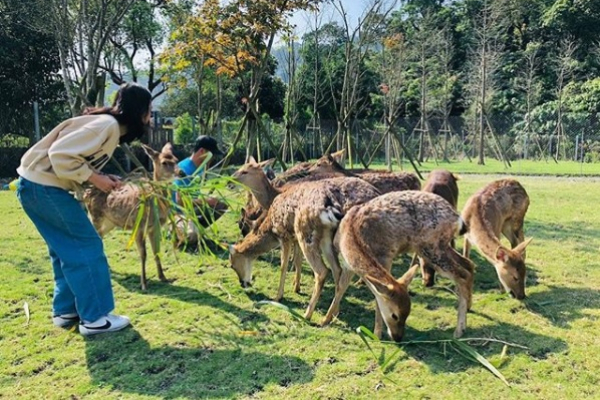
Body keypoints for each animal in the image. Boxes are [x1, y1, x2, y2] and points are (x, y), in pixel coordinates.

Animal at [83, 144, 179, 290]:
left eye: (176, 159)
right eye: (164, 162)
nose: (181, 172)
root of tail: (86, 193)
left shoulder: (155, 227)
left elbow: (156, 251)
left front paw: (163, 278)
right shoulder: (138, 226)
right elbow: (143, 254)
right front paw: (144, 284)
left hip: (110, 223)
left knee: (101, 237)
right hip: (95, 216)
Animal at [230, 177, 380, 324]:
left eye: (232, 265)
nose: (242, 283)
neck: (270, 227)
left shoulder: (284, 236)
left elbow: (283, 265)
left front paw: (278, 296)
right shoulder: (295, 239)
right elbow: (297, 260)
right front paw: (296, 287)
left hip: (306, 234)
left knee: (324, 271)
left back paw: (308, 315)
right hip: (327, 239)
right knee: (338, 270)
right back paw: (332, 314)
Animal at [332, 191, 474, 340]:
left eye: (403, 314)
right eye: (395, 316)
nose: (398, 338)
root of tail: (457, 218)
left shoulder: (386, 256)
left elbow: (377, 295)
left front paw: (376, 334)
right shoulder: (347, 264)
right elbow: (340, 287)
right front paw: (327, 319)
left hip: (430, 248)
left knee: (462, 274)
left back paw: (459, 330)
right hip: (438, 246)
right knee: (468, 264)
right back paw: (468, 308)